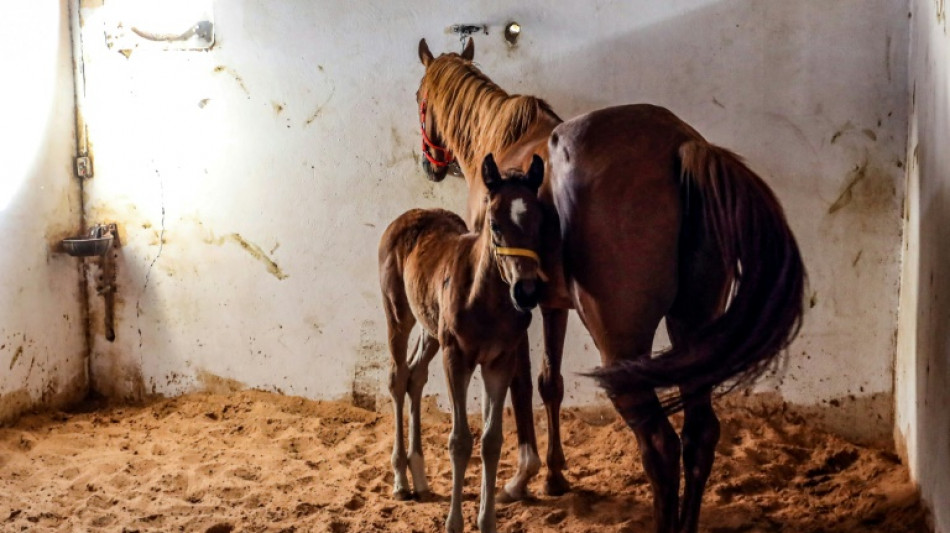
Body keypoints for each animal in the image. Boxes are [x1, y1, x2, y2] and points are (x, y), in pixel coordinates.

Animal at [378, 154, 544, 532]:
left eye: (539, 221)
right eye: (495, 225)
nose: (527, 292)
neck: (487, 299)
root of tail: (411, 214)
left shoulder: (500, 362)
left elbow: (491, 442)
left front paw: (487, 521)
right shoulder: (457, 358)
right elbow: (459, 442)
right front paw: (454, 523)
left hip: (430, 328)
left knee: (415, 375)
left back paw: (420, 477)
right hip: (398, 314)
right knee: (397, 377)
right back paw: (401, 480)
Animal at [412, 38, 808, 532]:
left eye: (419, 99)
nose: (429, 164)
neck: (505, 143)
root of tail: (682, 146)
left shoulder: (513, 308)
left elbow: (520, 387)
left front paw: (522, 477)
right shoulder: (551, 303)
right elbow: (550, 382)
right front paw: (554, 476)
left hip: (622, 350)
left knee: (661, 446)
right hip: (692, 332)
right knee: (700, 434)